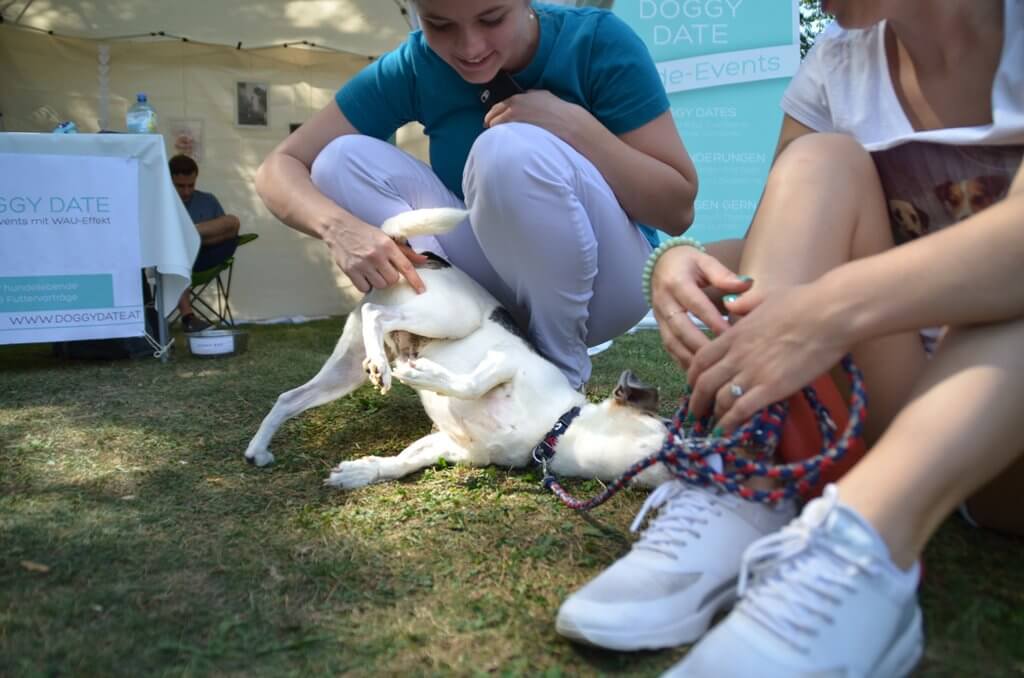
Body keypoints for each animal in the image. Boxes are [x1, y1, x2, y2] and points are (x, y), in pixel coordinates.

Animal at [244, 208, 672, 490]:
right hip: (449, 315)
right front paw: (425, 375)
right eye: (669, 425)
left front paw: (362, 472)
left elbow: (402, 462)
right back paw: (385, 365)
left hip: (343, 373)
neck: (554, 429)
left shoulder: (455, 448)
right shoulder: (506, 362)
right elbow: (471, 383)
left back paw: (258, 449)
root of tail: (417, 254)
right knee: (375, 313)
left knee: (289, 397)